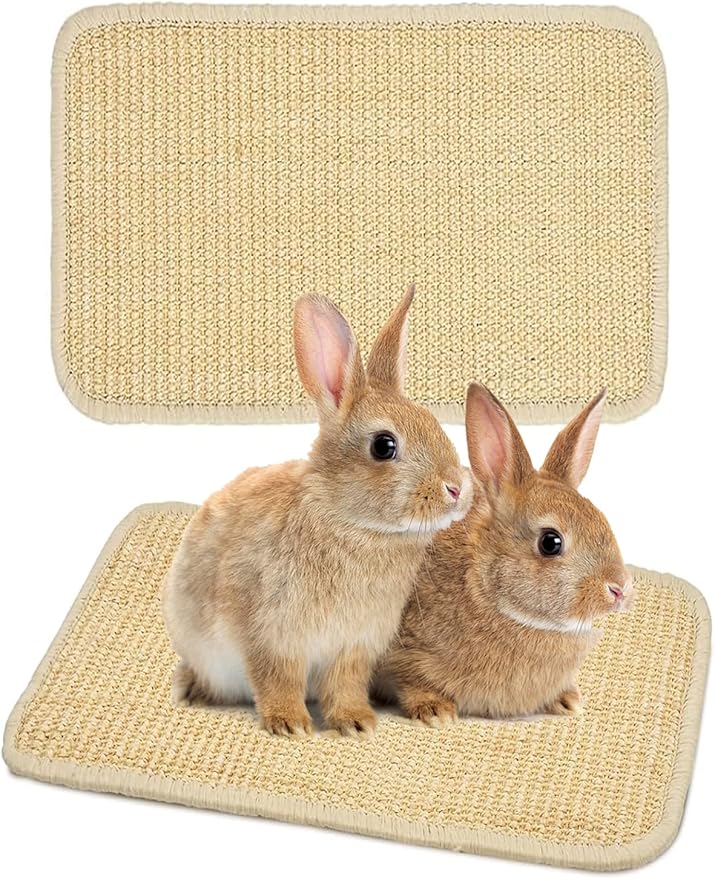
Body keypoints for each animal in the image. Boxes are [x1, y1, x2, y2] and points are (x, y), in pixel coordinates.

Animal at [162, 287, 472, 737]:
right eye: (384, 445)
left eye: (433, 422)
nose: (456, 488)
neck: (350, 523)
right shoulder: (273, 636)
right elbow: (277, 680)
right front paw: (290, 724)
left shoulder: (353, 647)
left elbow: (344, 686)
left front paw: (357, 723)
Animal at [376, 383, 633, 724]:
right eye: (550, 542)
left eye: (602, 519)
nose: (619, 588)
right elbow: (409, 680)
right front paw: (435, 711)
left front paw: (568, 700)